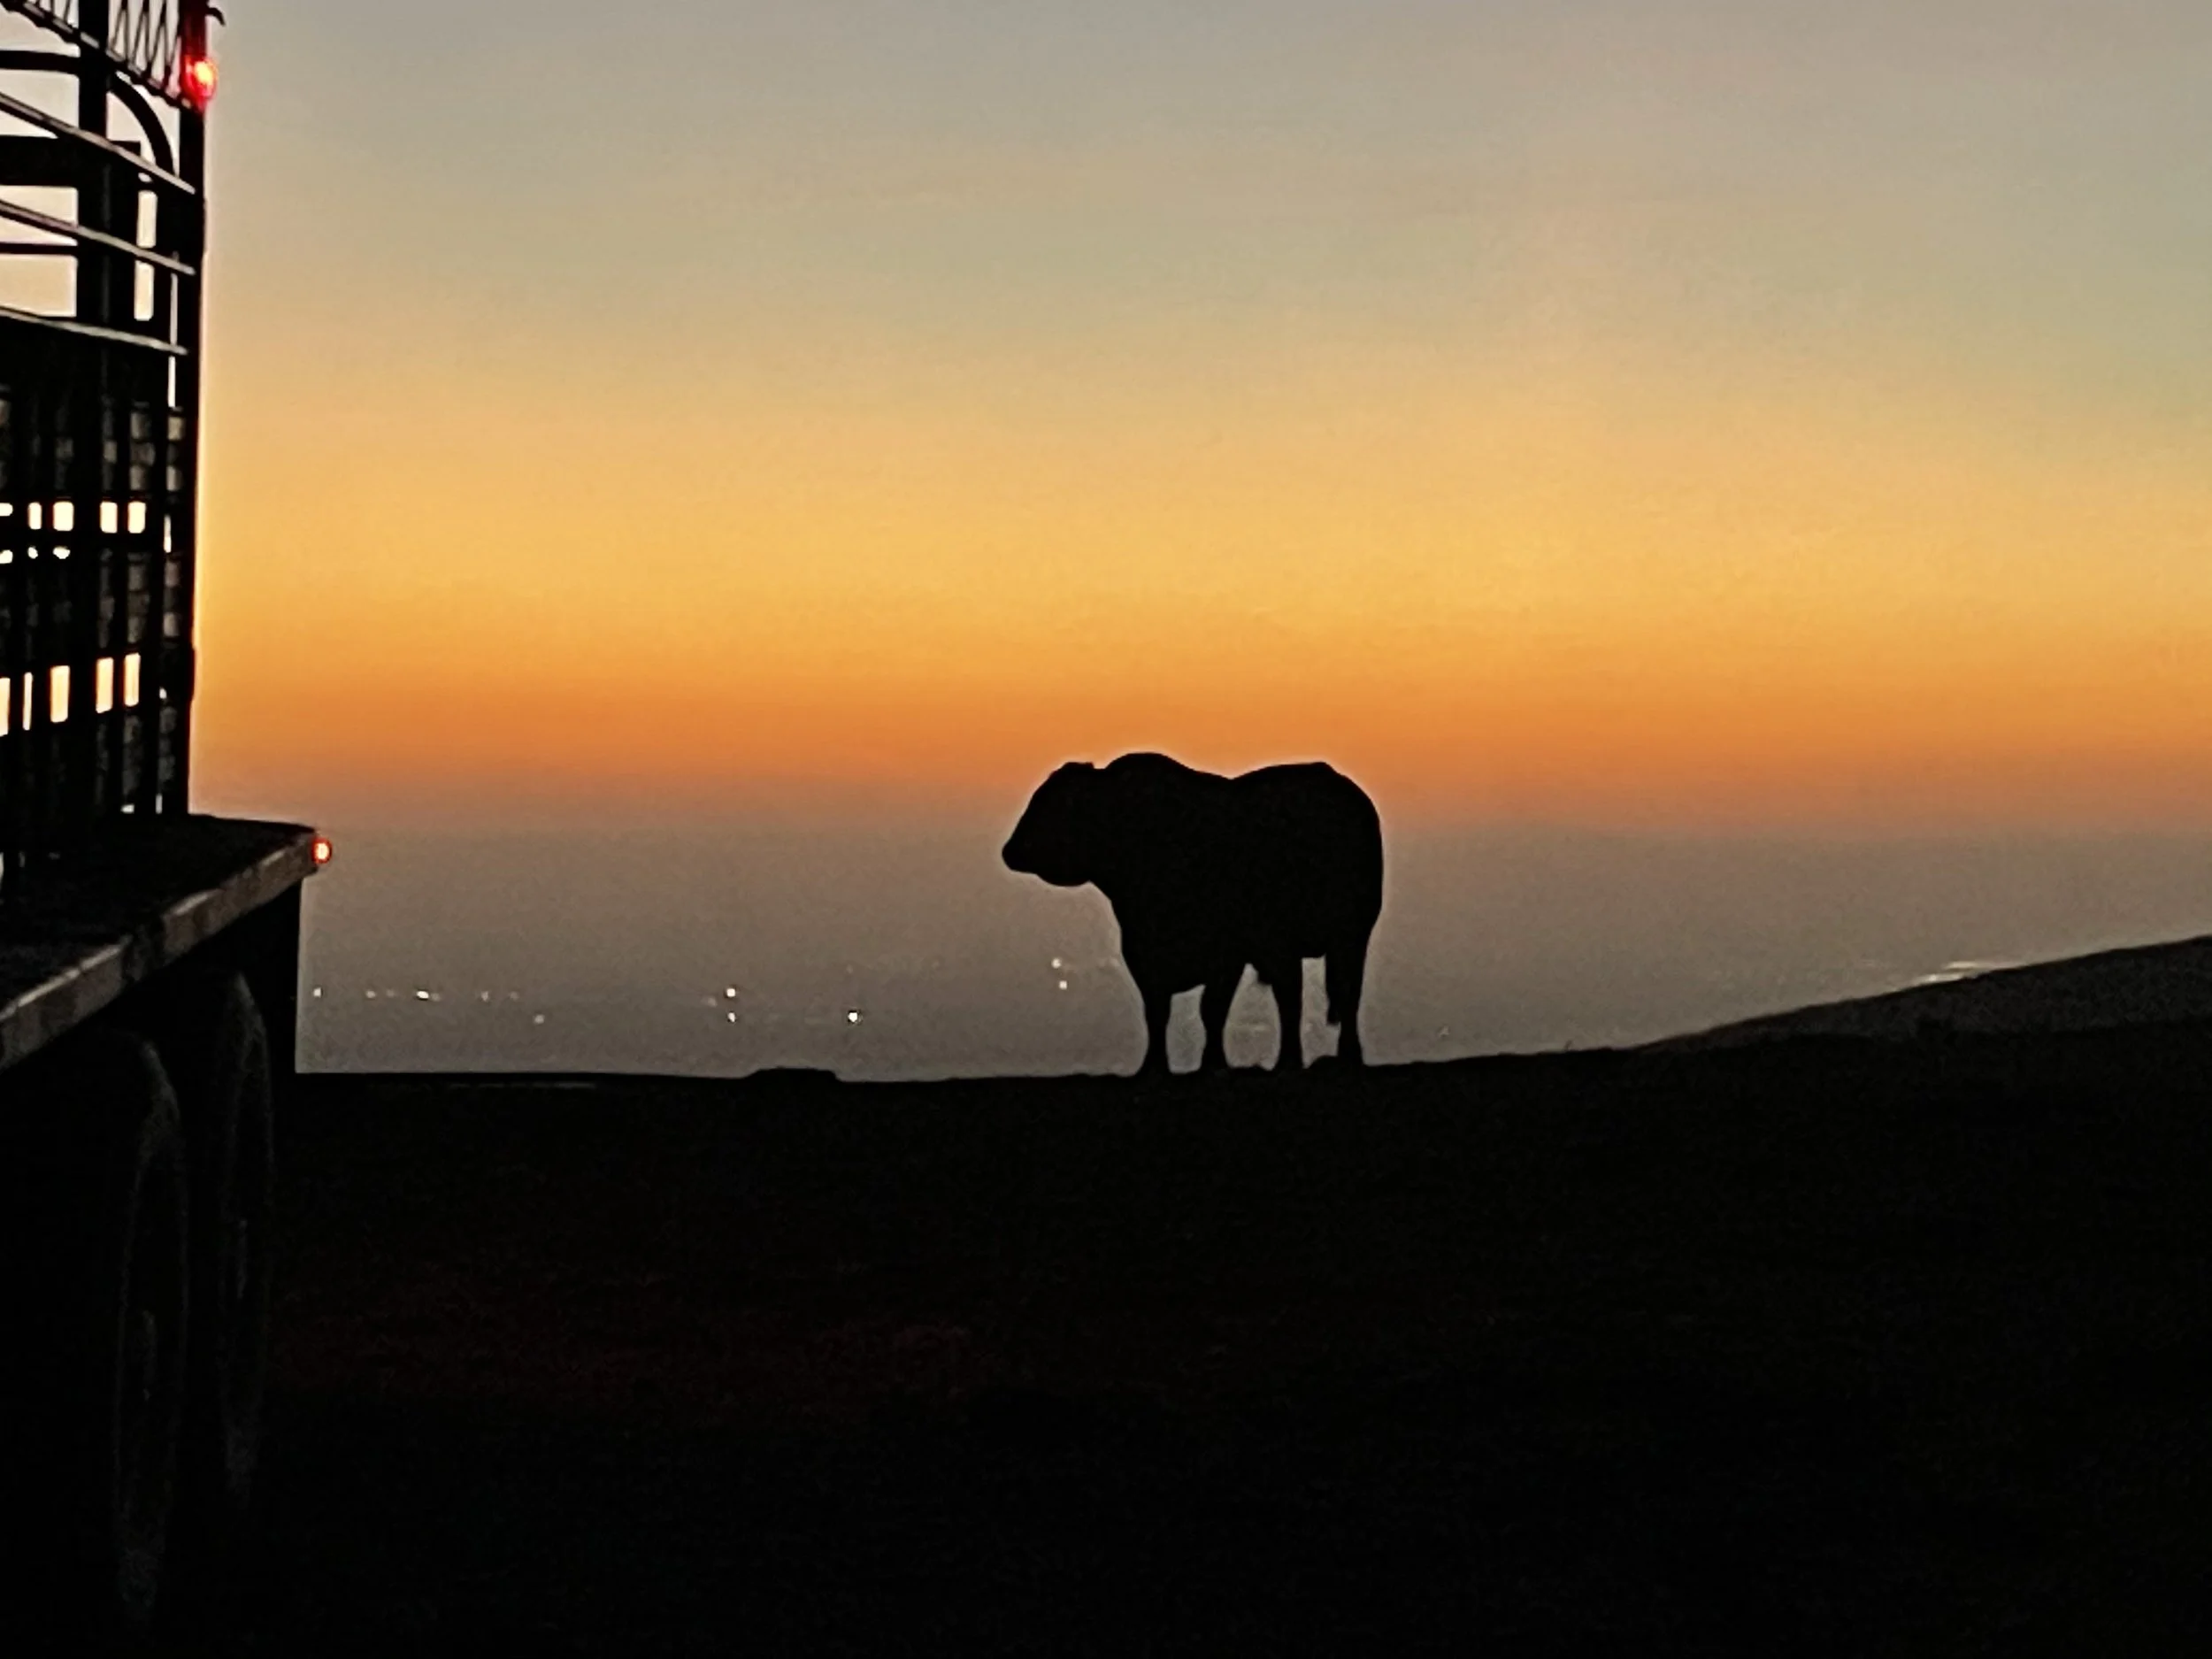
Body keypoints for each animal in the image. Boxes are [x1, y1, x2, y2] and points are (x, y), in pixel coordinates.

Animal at [1002, 753, 1383, 1076]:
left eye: (1056, 803)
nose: (1011, 849)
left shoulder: (1228, 954)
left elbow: (1211, 1010)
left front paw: (1212, 1064)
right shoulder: (1140, 952)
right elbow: (1157, 1012)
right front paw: (1154, 1067)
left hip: (1345, 936)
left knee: (1325, 995)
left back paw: (1313, 1060)